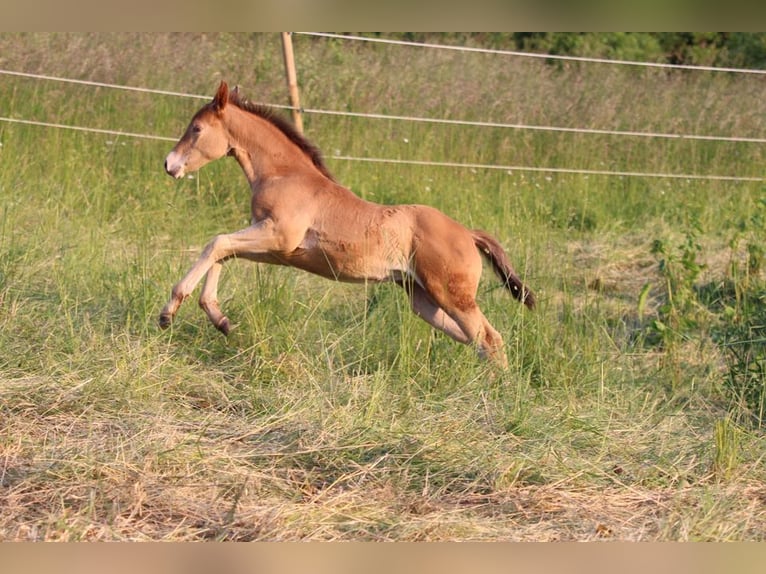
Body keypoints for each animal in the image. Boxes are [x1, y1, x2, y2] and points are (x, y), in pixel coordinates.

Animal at [162, 81, 536, 368]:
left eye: (196, 129)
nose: (169, 164)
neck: (285, 174)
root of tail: (468, 233)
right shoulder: (275, 248)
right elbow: (222, 251)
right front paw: (220, 320)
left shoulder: (277, 237)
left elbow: (217, 242)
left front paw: (168, 313)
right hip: (424, 300)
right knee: (475, 339)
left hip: (453, 296)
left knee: (489, 337)